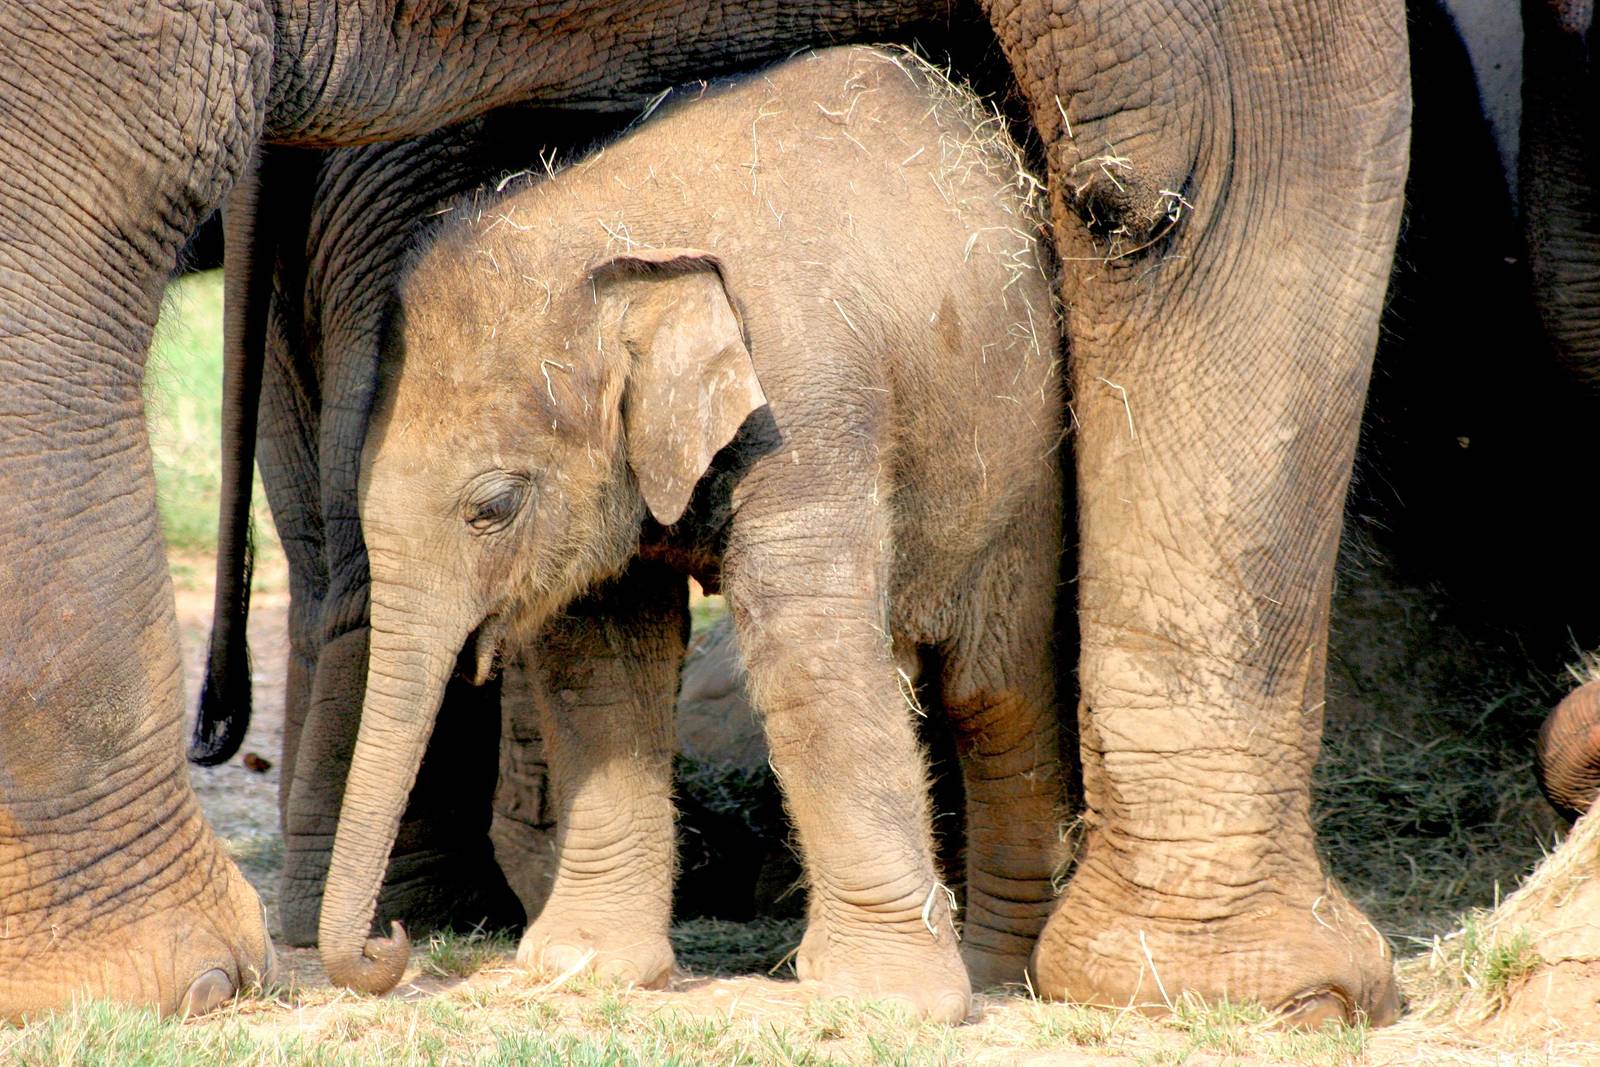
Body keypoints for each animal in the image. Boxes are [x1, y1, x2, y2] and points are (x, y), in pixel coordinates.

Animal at [0, 0, 1411, 1025]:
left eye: (491, 505)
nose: (394, 948)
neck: (612, 230)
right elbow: (601, 659)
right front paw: (574, 972)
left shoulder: (812, 404)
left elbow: (808, 658)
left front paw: (885, 1003)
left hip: (1014, 461)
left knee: (990, 685)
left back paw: (1000, 972)